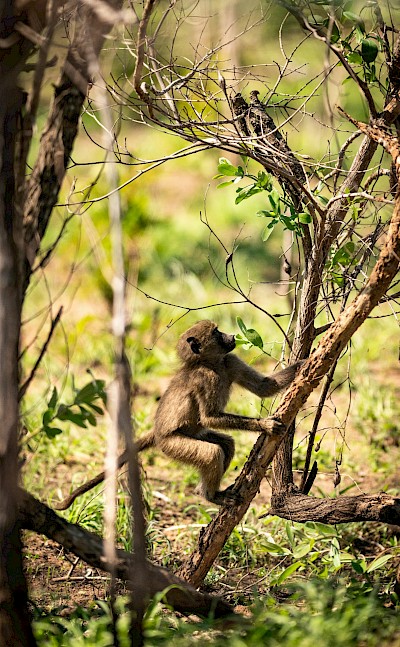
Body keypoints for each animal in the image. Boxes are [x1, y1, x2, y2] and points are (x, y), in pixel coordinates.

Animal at [53, 321, 302, 510]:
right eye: (216, 332)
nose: (231, 336)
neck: (209, 364)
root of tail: (157, 432)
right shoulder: (205, 378)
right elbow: (210, 417)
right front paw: (267, 425)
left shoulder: (229, 360)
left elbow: (265, 386)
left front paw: (305, 361)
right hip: (173, 445)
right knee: (212, 453)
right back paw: (211, 496)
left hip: (194, 436)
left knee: (226, 444)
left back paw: (209, 490)